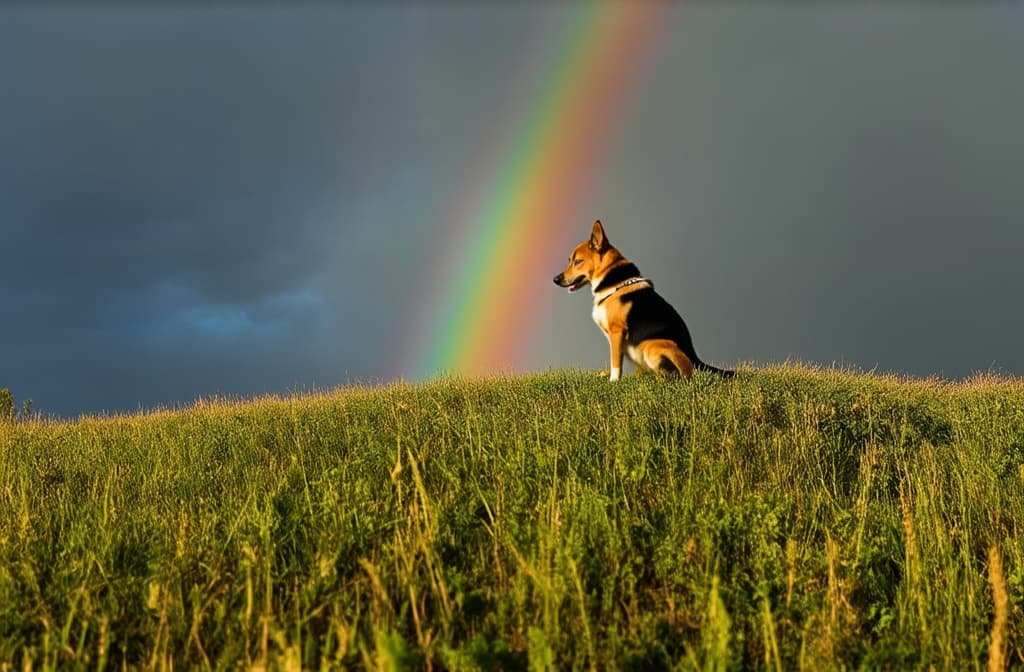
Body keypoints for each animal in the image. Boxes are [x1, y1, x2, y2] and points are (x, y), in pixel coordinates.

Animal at [557, 219, 733, 381]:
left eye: (578, 261)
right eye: (569, 260)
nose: (555, 279)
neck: (612, 282)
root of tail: (696, 361)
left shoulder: (617, 332)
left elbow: (615, 362)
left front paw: (613, 382)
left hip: (651, 346)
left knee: (677, 374)